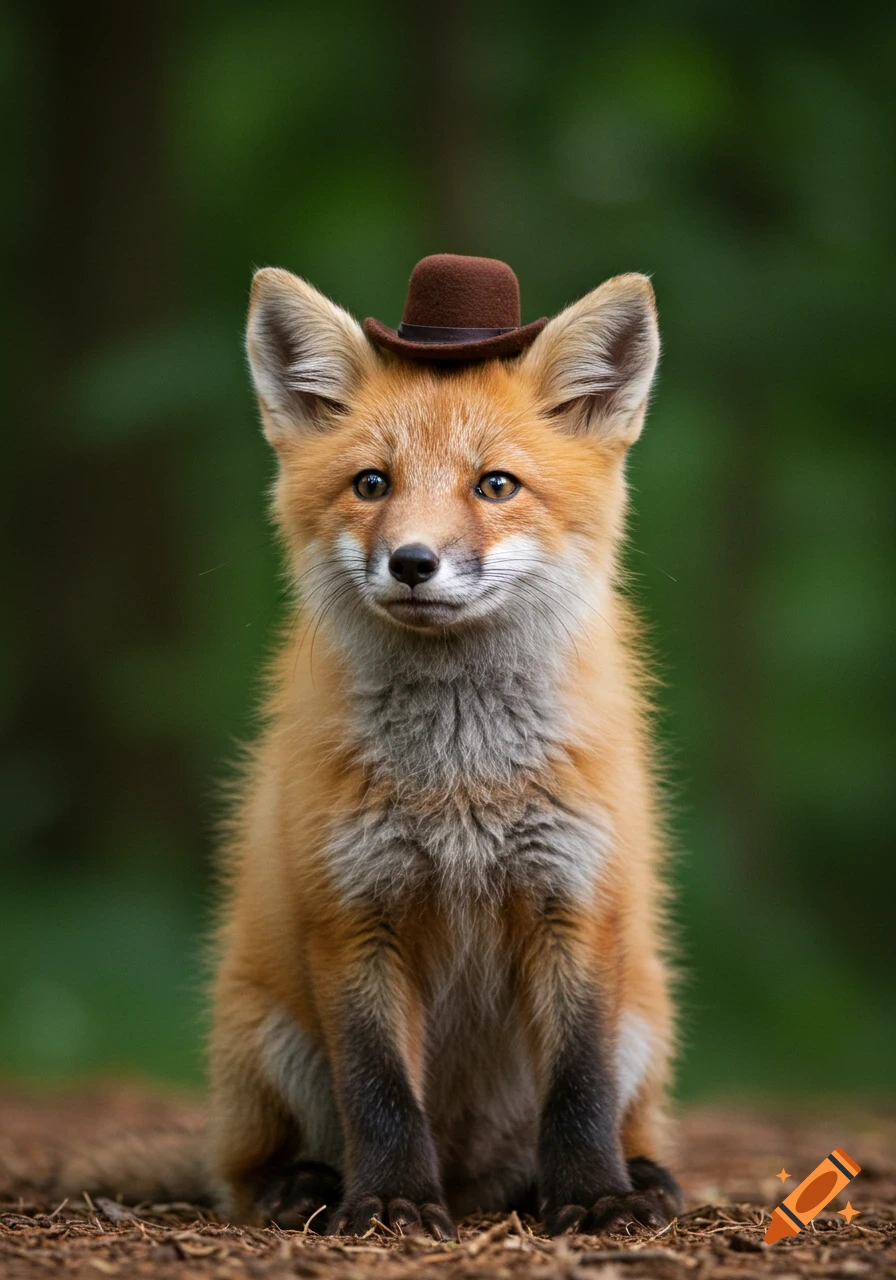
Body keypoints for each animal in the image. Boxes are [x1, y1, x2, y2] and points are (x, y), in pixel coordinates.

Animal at [65, 259, 682, 1238]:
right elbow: (381, 1088)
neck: (460, 779)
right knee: (249, 1170)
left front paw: (592, 1196)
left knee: (588, 1130)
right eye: (371, 484)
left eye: (495, 485)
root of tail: (470, 1178)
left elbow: (577, 1087)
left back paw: (634, 1177)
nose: (413, 562)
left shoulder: (577, 902)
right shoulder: (353, 911)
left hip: (644, 1020)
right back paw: (309, 1187)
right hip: (268, 1041)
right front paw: (391, 1201)